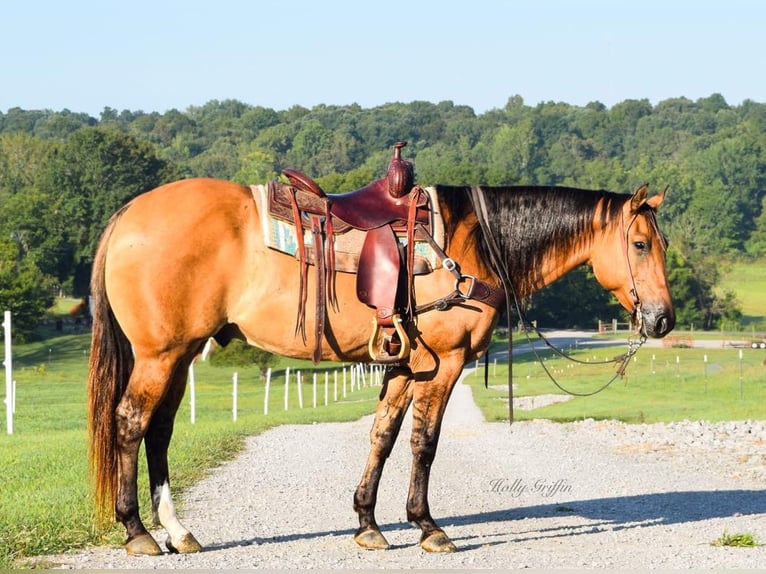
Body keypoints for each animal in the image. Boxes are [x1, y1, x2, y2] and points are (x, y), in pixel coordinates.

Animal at [87, 151, 676, 556]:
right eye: (640, 244)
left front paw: (368, 524)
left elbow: (383, 436)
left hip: (181, 354)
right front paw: (428, 526)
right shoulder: (445, 363)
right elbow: (423, 443)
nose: (662, 319)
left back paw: (178, 531)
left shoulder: (405, 364)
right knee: (131, 421)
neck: (474, 242)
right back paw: (138, 532)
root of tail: (128, 213)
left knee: (160, 430)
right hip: (161, 354)